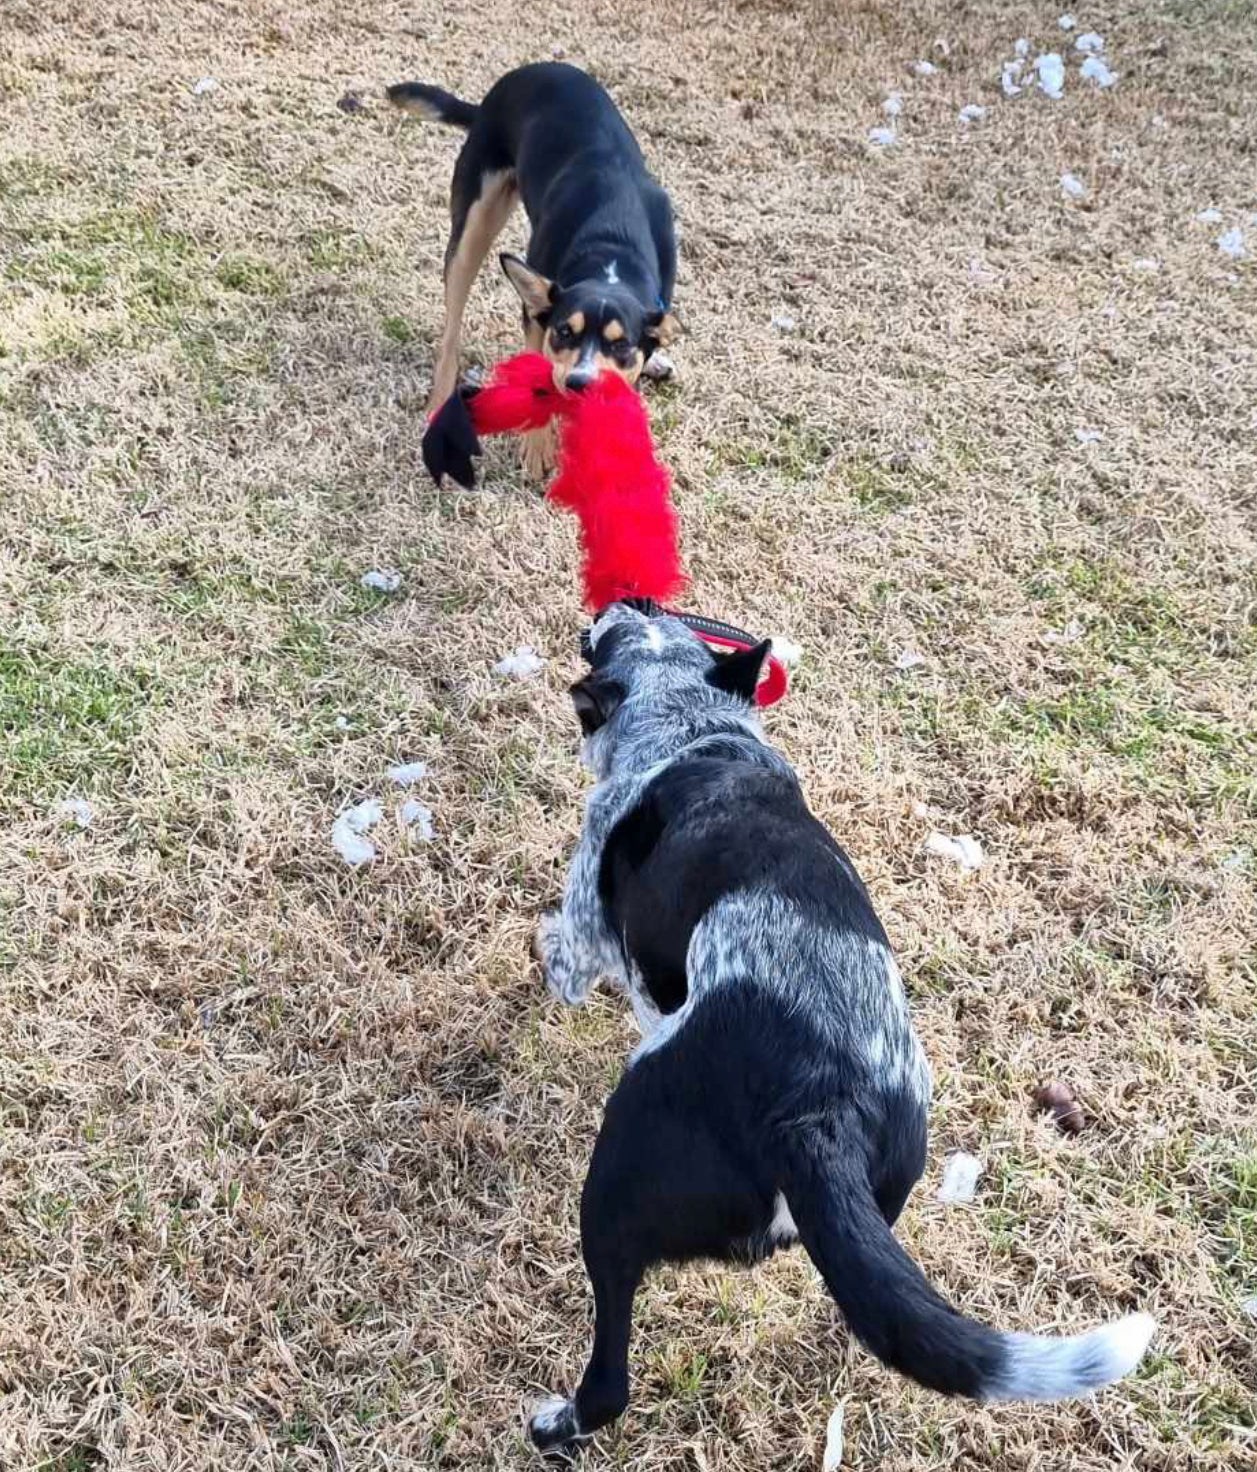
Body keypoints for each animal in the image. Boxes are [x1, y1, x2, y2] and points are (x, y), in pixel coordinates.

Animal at [391, 61, 680, 476]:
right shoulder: (536, 317)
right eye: (564, 331)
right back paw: (441, 398)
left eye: (621, 343)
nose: (579, 383)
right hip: (475, 223)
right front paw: (538, 448)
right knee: (452, 327)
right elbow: (540, 374)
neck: (612, 245)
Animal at [526, 600, 1153, 1460]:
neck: (688, 727)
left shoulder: (588, 929)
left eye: (618, 635)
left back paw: (557, 1423)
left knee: (610, 1372)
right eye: (651, 618)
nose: (627, 602)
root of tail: (820, 1111)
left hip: (614, 1191)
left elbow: (560, 952)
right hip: (880, 1197)